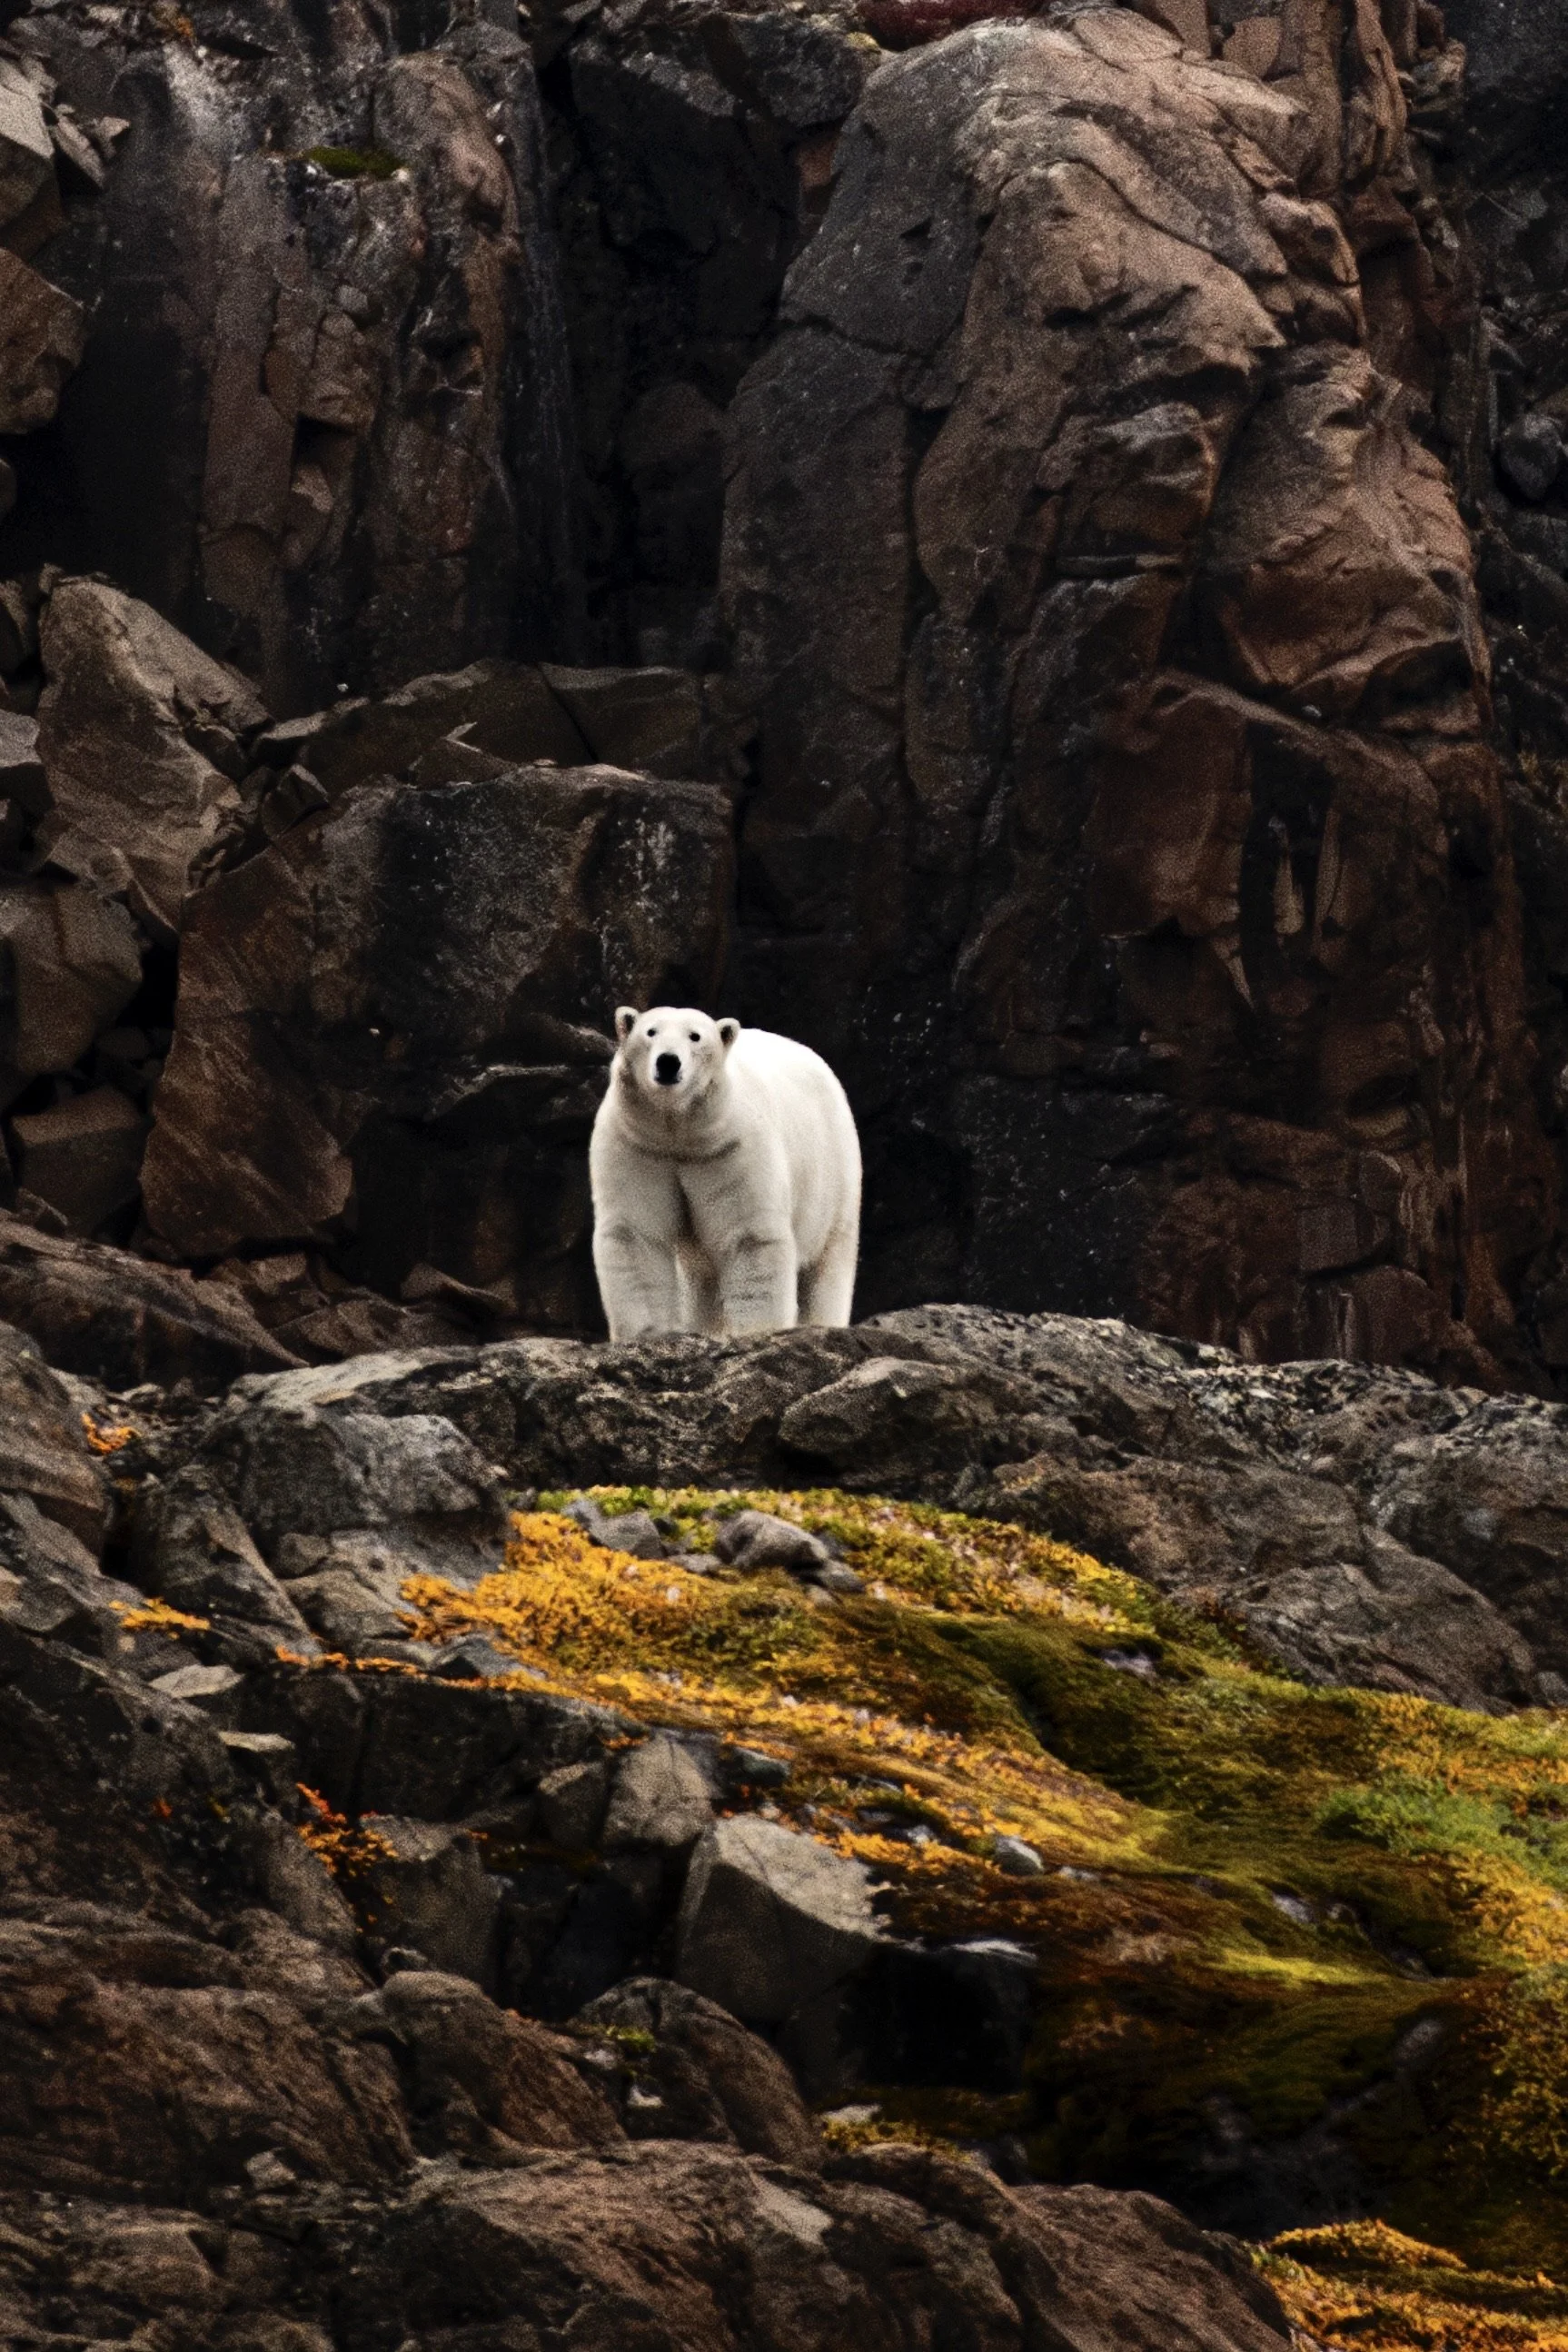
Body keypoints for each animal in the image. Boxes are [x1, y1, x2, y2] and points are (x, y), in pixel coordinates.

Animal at [589, 1005, 861, 1339]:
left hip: (833, 1169)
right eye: (650, 1032)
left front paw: (756, 1330)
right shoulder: (640, 1144)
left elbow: (748, 1234)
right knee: (701, 1276)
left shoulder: (729, 1145)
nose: (668, 1061)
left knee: (829, 1256)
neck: (679, 1131)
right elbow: (636, 1232)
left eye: (695, 1036)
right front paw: (650, 1333)